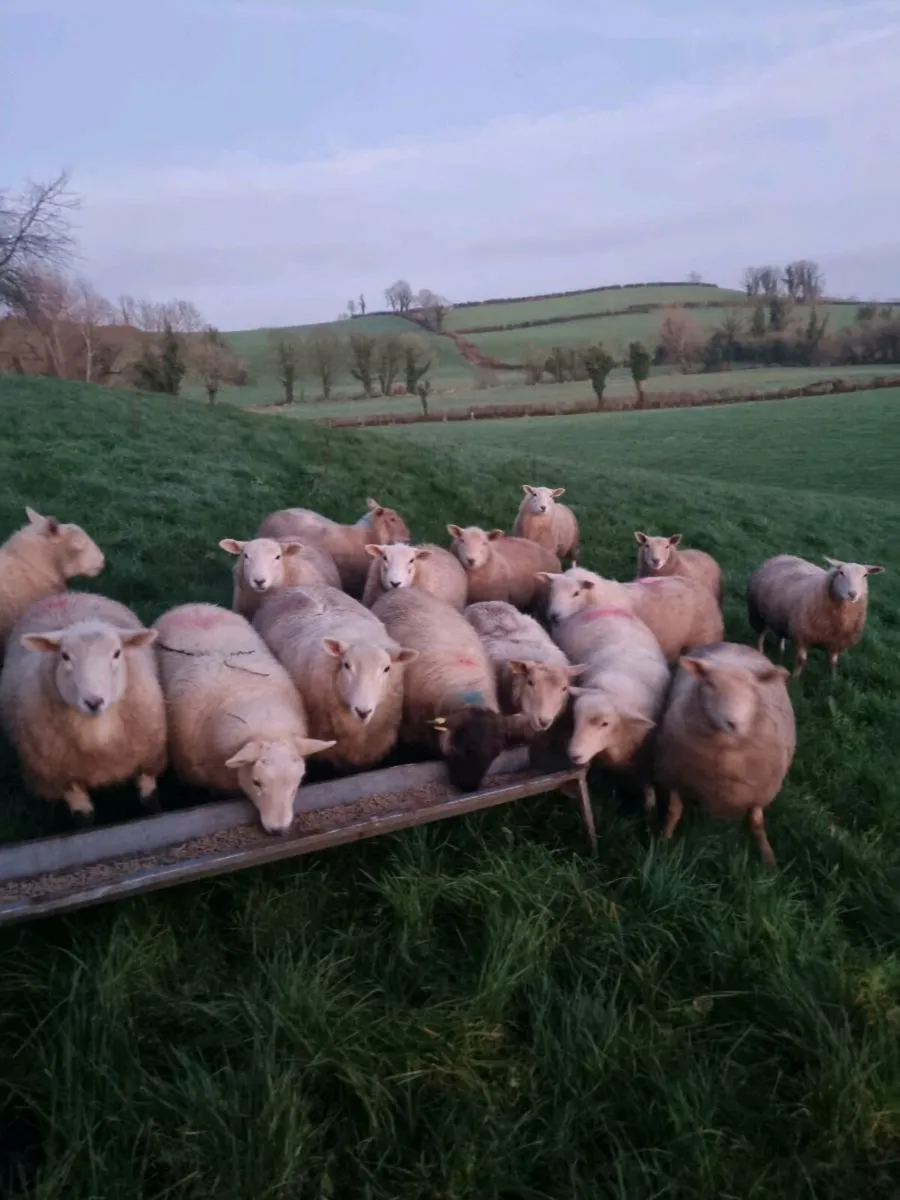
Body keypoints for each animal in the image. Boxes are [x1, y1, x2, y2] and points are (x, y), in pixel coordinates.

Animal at [0, 591, 166, 825]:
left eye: (117, 653)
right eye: (65, 656)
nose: (93, 702)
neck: (97, 736)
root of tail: (67, 594)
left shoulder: (148, 759)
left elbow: (149, 800)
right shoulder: (61, 778)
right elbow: (83, 818)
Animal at [372, 588, 529, 791]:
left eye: (495, 754)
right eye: (462, 749)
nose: (469, 788)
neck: (468, 688)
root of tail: (400, 590)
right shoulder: (411, 726)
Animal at [550, 601, 670, 812]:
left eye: (604, 724)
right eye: (575, 719)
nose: (573, 755)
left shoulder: (645, 750)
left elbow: (646, 780)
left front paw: (650, 806)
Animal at [653, 642, 796, 868]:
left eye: (753, 689)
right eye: (710, 683)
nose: (732, 723)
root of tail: (734, 645)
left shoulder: (760, 790)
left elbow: (757, 822)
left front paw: (769, 859)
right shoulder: (673, 773)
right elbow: (673, 812)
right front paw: (663, 844)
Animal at [747, 553, 885, 678]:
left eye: (865, 575)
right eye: (841, 572)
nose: (852, 594)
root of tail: (783, 555)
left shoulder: (837, 641)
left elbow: (833, 661)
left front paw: (833, 679)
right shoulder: (803, 633)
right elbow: (801, 658)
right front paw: (795, 678)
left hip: (781, 616)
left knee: (781, 634)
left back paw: (781, 649)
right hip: (759, 613)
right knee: (761, 635)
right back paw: (760, 651)